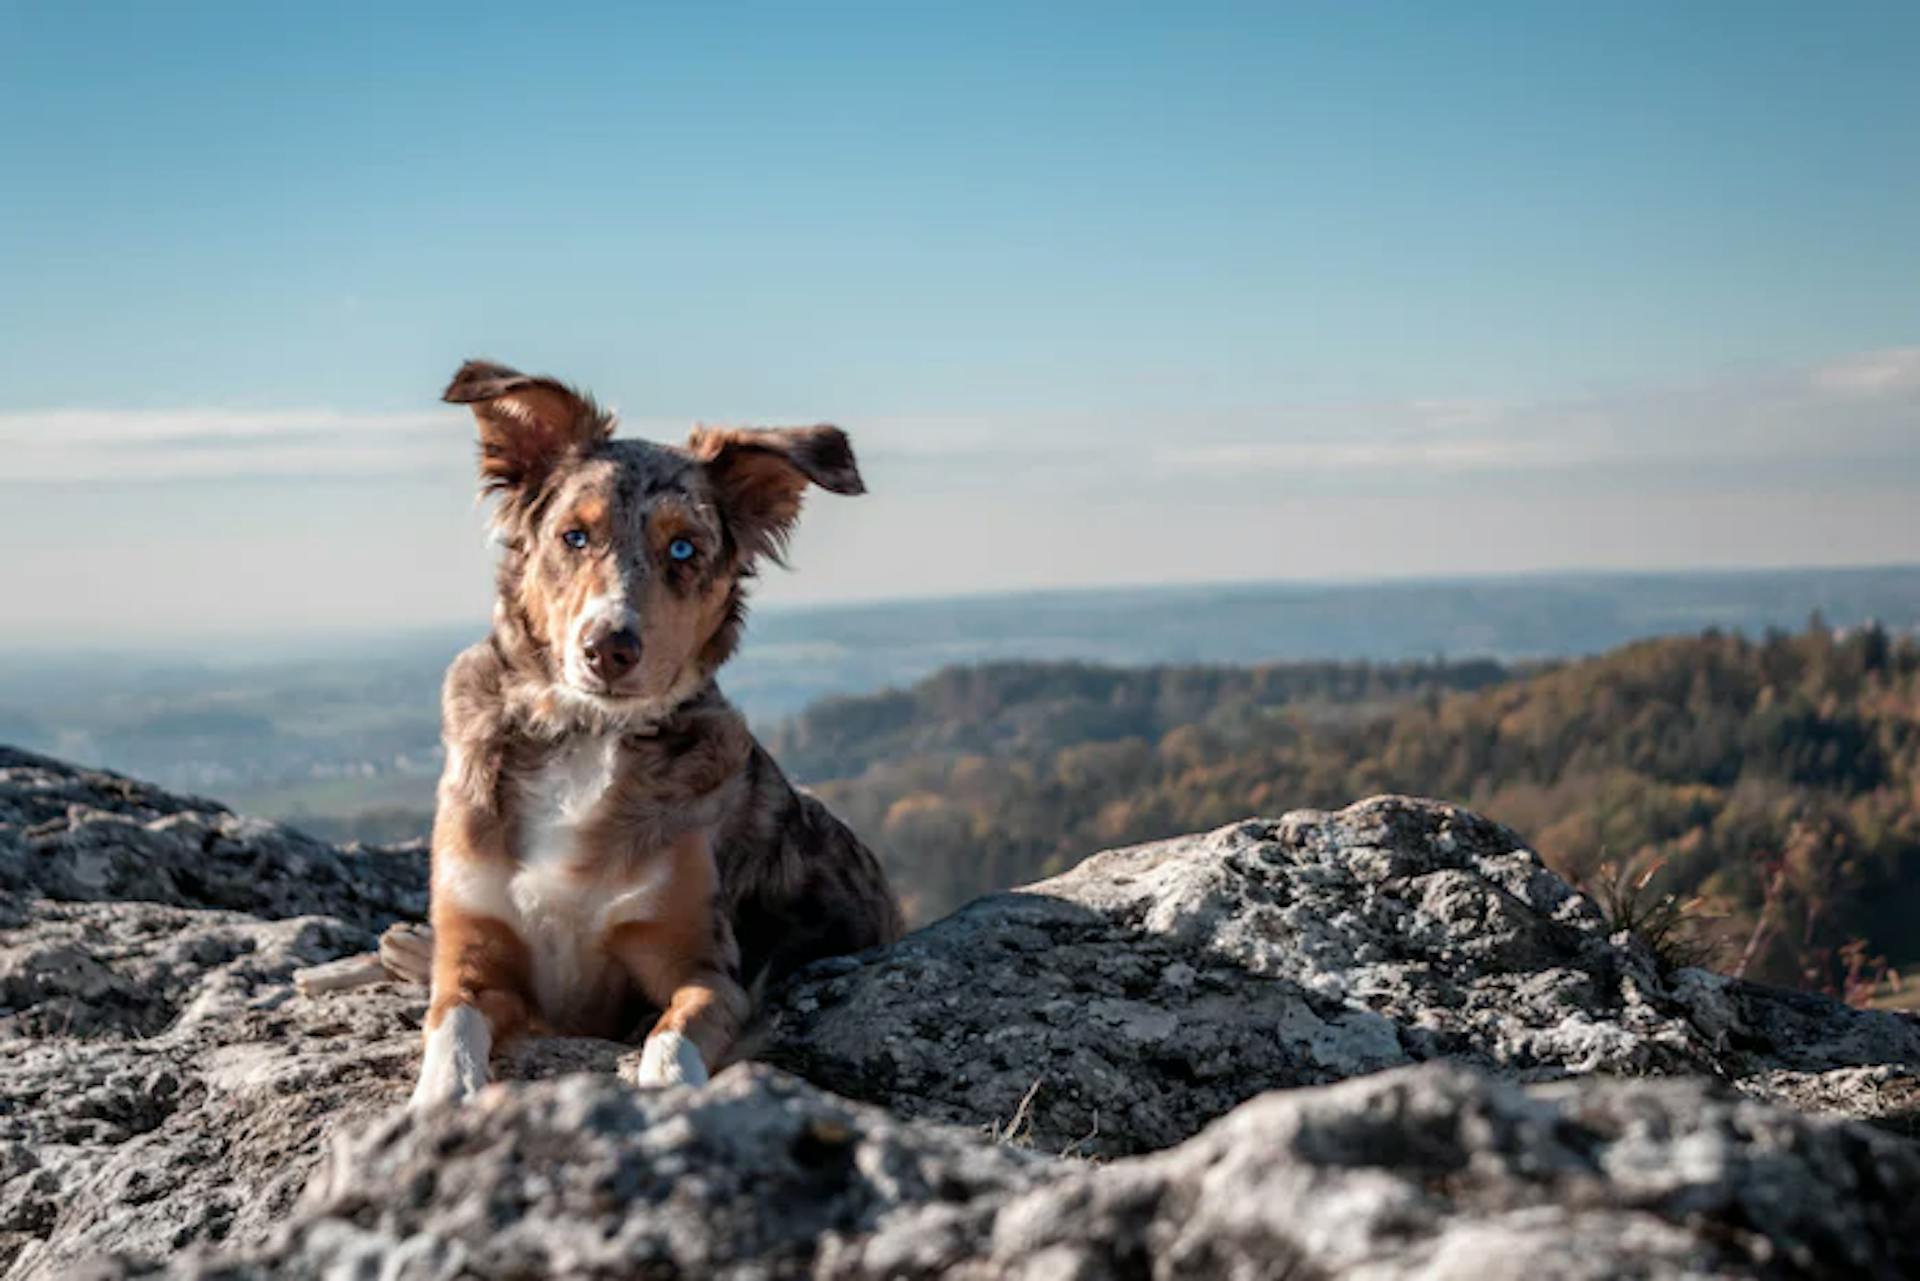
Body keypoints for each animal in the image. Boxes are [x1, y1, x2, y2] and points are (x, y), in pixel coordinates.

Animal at [410, 361, 898, 1113]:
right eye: (574, 537)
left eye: (683, 547)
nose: (608, 648)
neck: (584, 736)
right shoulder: (474, 952)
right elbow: (451, 1024)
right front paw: (439, 1098)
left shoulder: (704, 968)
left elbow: (671, 1037)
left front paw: (667, 1091)